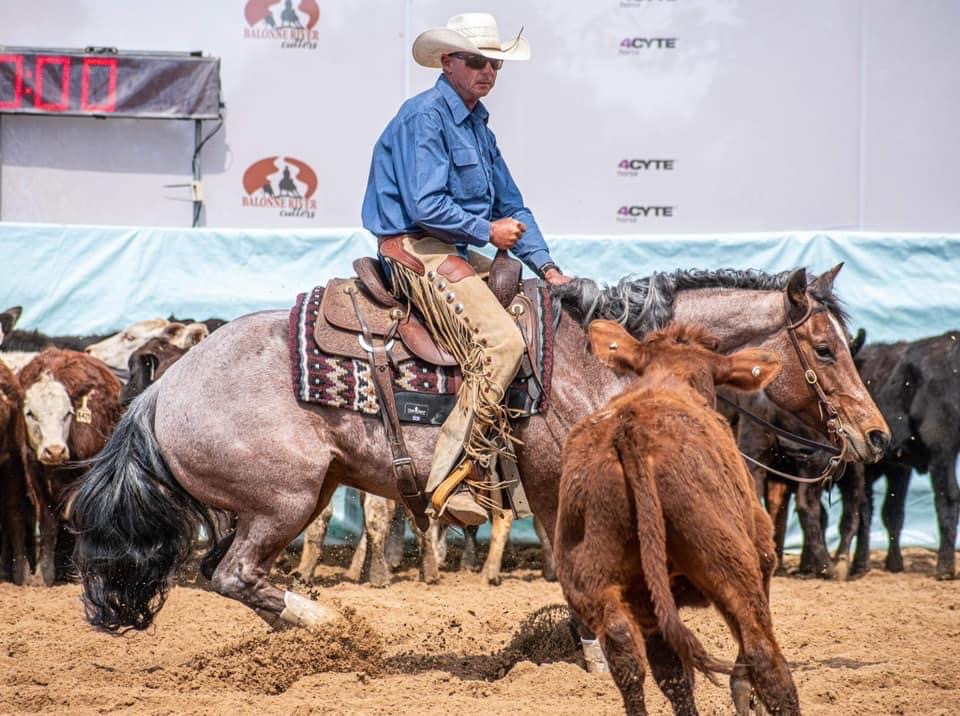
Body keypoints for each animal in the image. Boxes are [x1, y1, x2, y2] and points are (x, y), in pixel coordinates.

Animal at [18, 348, 122, 585]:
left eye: (67, 414)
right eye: (30, 414)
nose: (54, 450)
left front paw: (79, 572)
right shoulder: (34, 474)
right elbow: (47, 523)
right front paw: (45, 574)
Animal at [71, 265, 890, 634]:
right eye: (824, 348)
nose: (876, 435)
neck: (599, 356)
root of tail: (162, 390)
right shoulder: (561, 478)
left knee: (221, 574)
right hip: (284, 499)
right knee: (234, 574)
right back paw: (328, 626)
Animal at [556, 320, 798, 716]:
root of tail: (632, 433)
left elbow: (672, 672)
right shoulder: (763, 557)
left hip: (593, 578)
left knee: (628, 656)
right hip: (728, 562)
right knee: (763, 655)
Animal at [848, 330, 960, 579]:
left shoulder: (868, 466)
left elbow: (865, 510)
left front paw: (859, 564)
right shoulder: (898, 466)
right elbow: (893, 513)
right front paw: (894, 563)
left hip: (942, 450)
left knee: (947, 498)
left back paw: (945, 567)